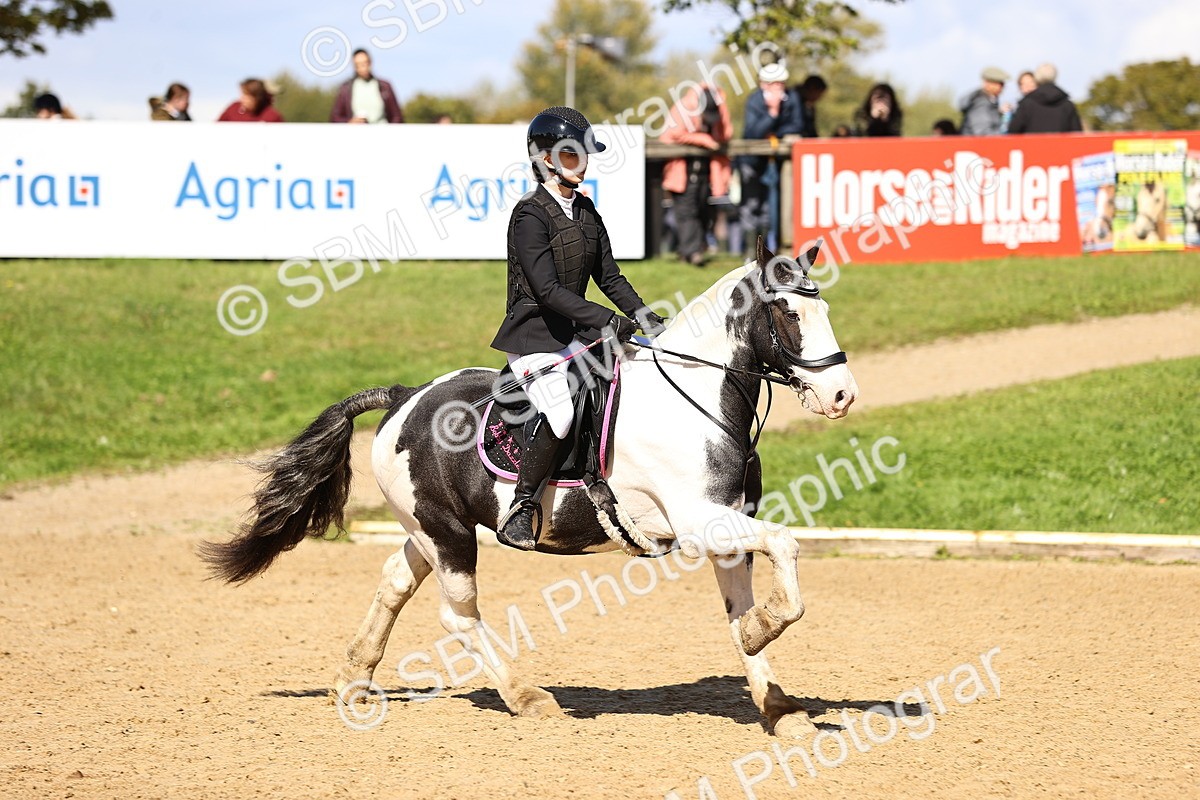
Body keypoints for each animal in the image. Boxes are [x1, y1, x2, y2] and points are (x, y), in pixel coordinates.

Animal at [200, 240, 859, 737]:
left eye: (826, 308)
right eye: (791, 315)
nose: (842, 395)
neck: (696, 398)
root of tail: (405, 396)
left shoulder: (724, 524)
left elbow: (743, 604)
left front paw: (778, 702)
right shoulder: (700, 522)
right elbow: (787, 546)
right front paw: (766, 634)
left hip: (430, 528)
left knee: (395, 582)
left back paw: (354, 682)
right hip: (449, 535)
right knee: (457, 616)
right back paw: (526, 696)